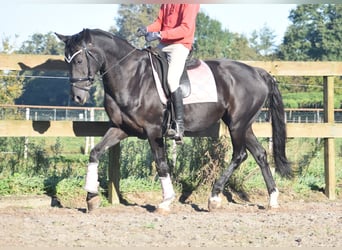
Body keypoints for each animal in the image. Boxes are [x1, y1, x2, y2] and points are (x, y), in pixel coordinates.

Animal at [56, 28, 292, 213]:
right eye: (66, 62)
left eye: (79, 60)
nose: (77, 97)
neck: (131, 76)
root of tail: (258, 72)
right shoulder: (120, 128)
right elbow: (95, 152)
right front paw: (91, 196)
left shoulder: (153, 131)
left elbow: (161, 164)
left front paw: (166, 201)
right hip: (244, 125)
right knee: (260, 154)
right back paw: (272, 199)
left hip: (237, 124)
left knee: (240, 155)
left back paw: (214, 197)